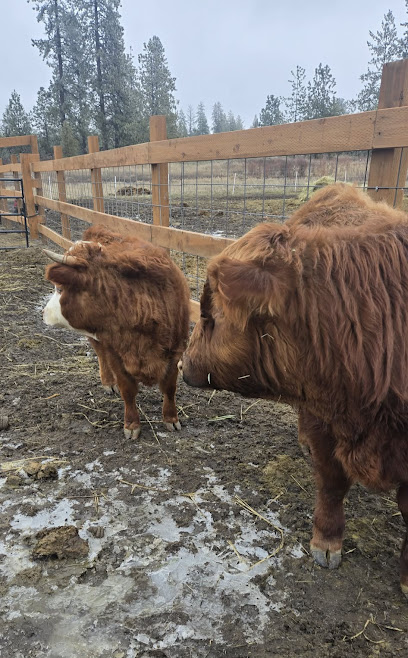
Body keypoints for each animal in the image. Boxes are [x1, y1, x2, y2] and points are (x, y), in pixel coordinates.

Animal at [43, 225, 190, 439]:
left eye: (60, 289)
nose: (44, 312)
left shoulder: (176, 350)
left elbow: (170, 388)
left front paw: (171, 419)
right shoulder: (115, 352)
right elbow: (127, 390)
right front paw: (131, 424)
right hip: (96, 338)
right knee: (100, 354)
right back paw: (108, 381)